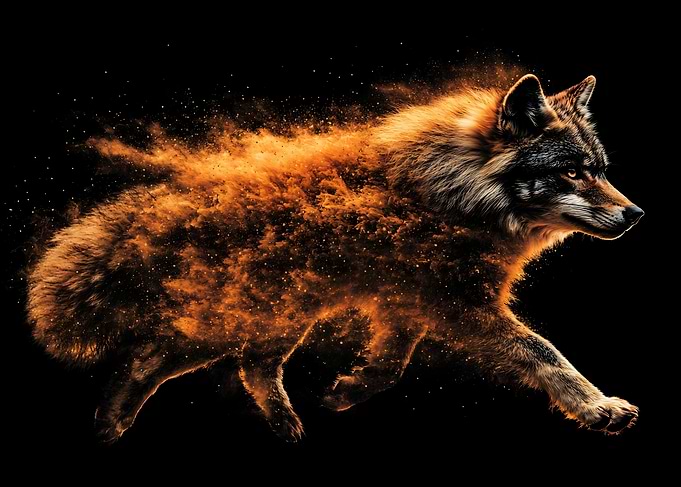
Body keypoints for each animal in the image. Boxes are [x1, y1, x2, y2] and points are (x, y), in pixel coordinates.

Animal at [27, 73, 643, 442]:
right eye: (573, 172)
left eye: (600, 169)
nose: (636, 214)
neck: (449, 191)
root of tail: (174, 207)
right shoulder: (457, 306)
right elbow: (545, 353)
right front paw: (598, 407)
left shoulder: (410, 306)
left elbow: (389, 368)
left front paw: (346, 391)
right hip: (232, 327)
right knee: (149, 358)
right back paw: (110, 426)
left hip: (278, 321)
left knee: (245, 365)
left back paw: (282, 425)